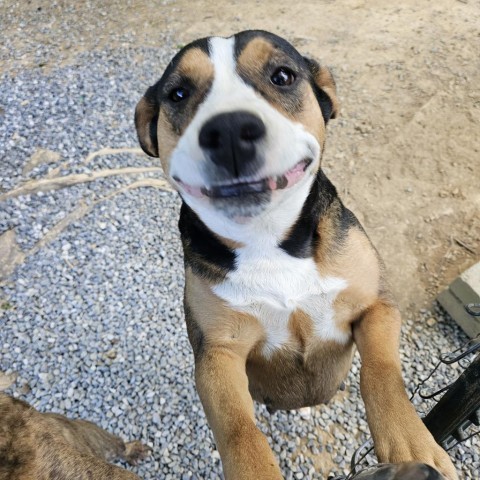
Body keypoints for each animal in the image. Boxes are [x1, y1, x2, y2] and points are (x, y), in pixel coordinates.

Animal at [135, 31, 458, 480]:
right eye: (178, 93)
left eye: (282, 76)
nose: (230, 130)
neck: (270, 239)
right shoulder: (218, 353)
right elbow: (239, 430)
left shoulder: (376, 306)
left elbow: (382, 373)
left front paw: (412, 442)